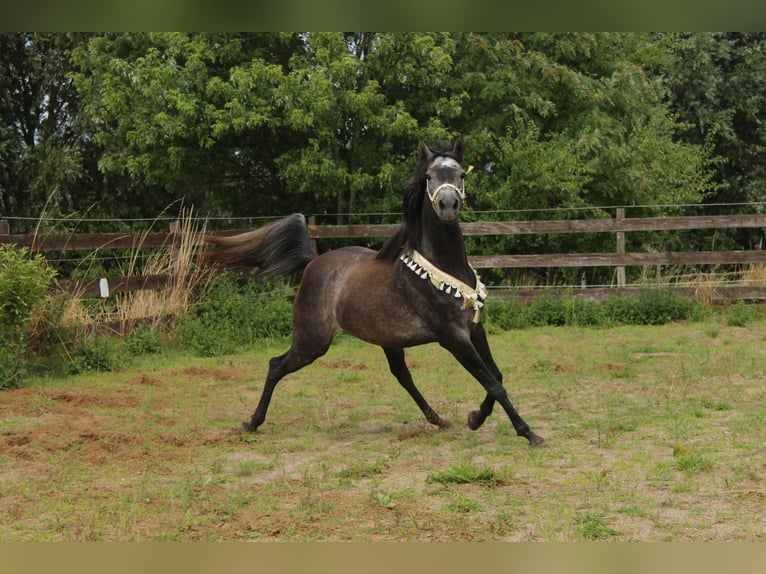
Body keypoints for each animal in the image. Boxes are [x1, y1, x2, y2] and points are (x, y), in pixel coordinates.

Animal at [200, 138, 545, 447]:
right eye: (429, 177)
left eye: (461, 174)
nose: (448, 206)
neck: (442, 268)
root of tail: (312, 262)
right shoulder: (452, 337)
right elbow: (493, 383)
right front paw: (529, 433)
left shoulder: (474, 329)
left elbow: (496, 376)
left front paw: (476, 418)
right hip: (312, 342)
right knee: (275, 365)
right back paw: (251, 423)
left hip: (385, 340)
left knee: (402, 375)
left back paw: (438, 419)